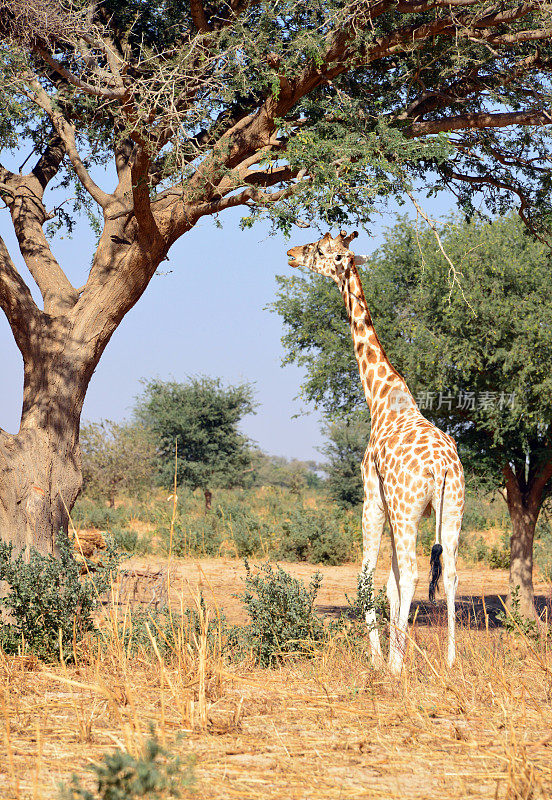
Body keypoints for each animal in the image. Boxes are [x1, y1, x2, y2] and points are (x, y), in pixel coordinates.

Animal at [286, 231, 464, 676]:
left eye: (320, 249)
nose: (291, 253)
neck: (382, 399)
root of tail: (442, 467)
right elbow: (390, 583)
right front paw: (388, 653)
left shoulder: (373, 497)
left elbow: (368, 577)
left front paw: (379, 659)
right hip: (453, 507)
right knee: (450, 572)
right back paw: (451, 661)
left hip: (405, 509)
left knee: (415, 573)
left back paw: (398, 663)